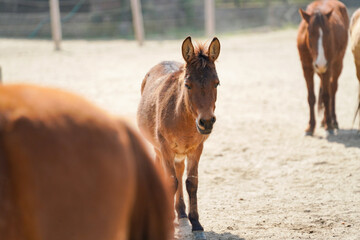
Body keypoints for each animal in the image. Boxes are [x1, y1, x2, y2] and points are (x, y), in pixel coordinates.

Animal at [137, 36, 219, 239]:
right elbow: (171, 181)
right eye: (187, 84)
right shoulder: (165, 147)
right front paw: (168, 222)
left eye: (217, 83)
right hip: (157, 148)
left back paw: (180, 212)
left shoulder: (196, 149)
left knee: (180, 171)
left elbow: (191, 182)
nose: (206, 122)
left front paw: (196, 224)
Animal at [296, 0, 348, 135]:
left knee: (332, 89)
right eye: (309, 35)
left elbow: (326, 95)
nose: (320, 63)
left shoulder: (327, 68)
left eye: (328, 34)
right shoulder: (307, 69)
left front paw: (329, 124)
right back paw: (324, 120)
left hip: (337, 65)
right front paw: (310, 126)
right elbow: (311, 97)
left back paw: (332, 120)